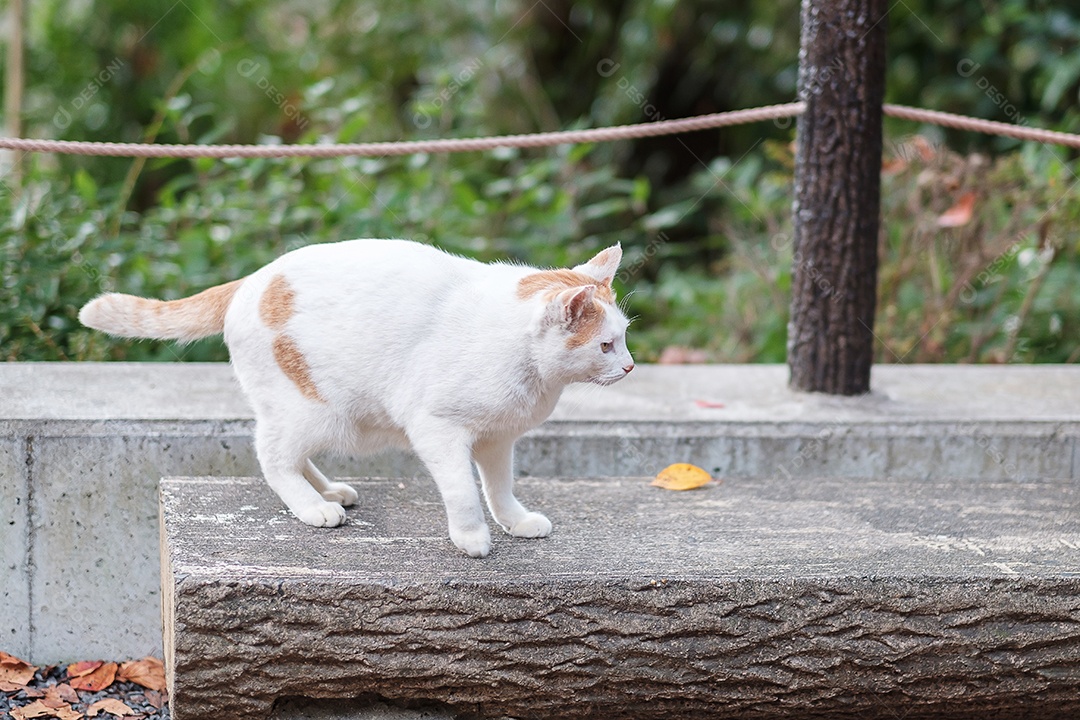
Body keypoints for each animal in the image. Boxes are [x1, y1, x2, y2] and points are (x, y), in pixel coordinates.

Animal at [82, 240, 630, 557]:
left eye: (622, 338)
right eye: (606, 345)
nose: (629, 366)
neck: (528, 366)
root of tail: (253, 279)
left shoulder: (497, 440)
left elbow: (499, 488)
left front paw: (514, 521)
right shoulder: (438, 429)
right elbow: (462, 490)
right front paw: (472, 536)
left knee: (288, 454)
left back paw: (328, 492)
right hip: (314, 410)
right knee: (272, 456)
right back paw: (312, 507)